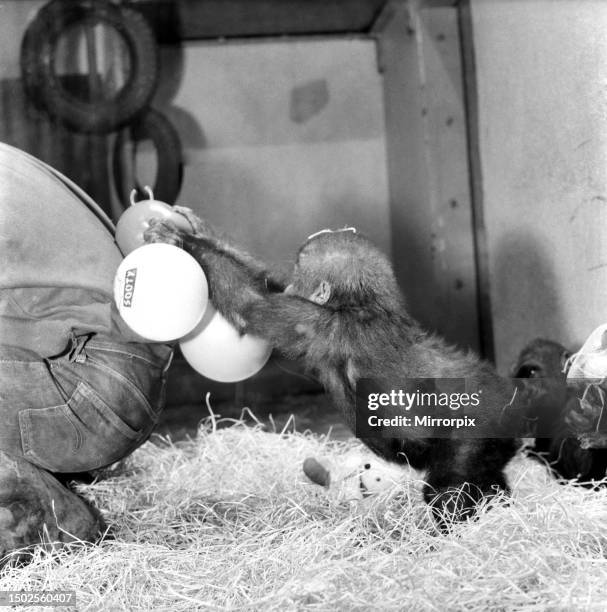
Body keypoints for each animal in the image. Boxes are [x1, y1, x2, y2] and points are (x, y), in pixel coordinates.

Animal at [147, 214, 524, 524]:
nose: (294, 284)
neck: (364, 303)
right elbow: (265, 284)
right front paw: (198, 230)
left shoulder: (313, 323)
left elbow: (251, 303)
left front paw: (182, 239)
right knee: (488, 483)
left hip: (478, 432)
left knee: (449, 490)